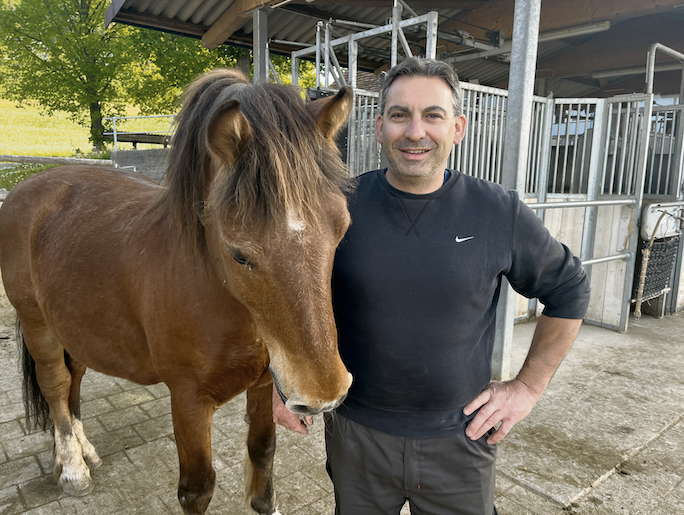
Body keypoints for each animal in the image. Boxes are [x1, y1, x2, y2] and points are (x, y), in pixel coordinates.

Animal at [0, 69, 354, 515]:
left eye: (342, 228)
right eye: (239, 254)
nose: (324, 395)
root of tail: (28, 188)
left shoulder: (262, 387)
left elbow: (263, 455)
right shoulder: (188, 401)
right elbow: (196, 488)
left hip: (74, 324)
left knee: (73, 379)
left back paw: (83, 450)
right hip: (37, 322)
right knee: (54, 383)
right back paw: (72, 467)